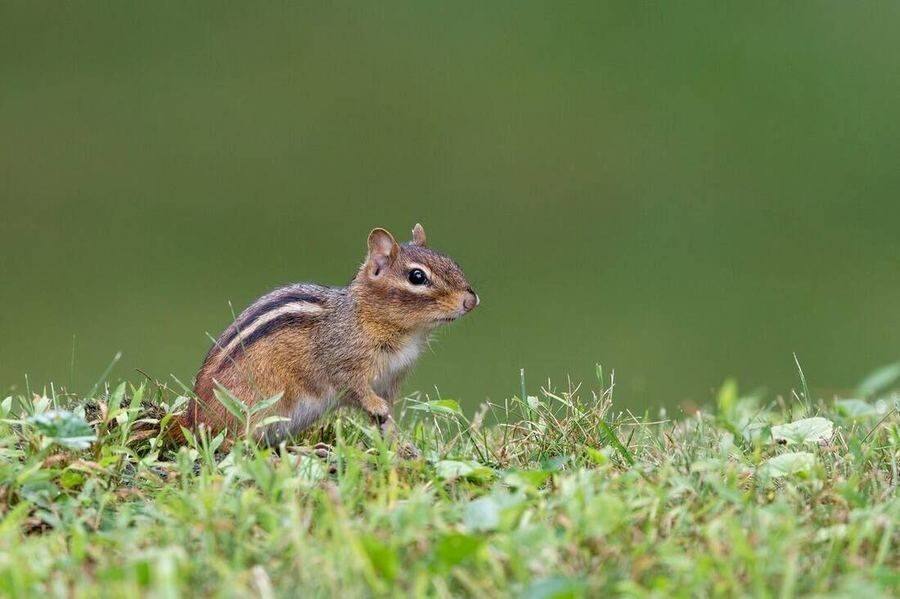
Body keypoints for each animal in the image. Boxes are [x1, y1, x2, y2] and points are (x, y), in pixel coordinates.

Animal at [176, 223, 478, 443]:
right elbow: (354, 387)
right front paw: (376, 408)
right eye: (417, 277)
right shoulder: (342, 362)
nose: (471, 301)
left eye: (452, 263)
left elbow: (387, 415)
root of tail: (192, 418)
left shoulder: (391, 380)